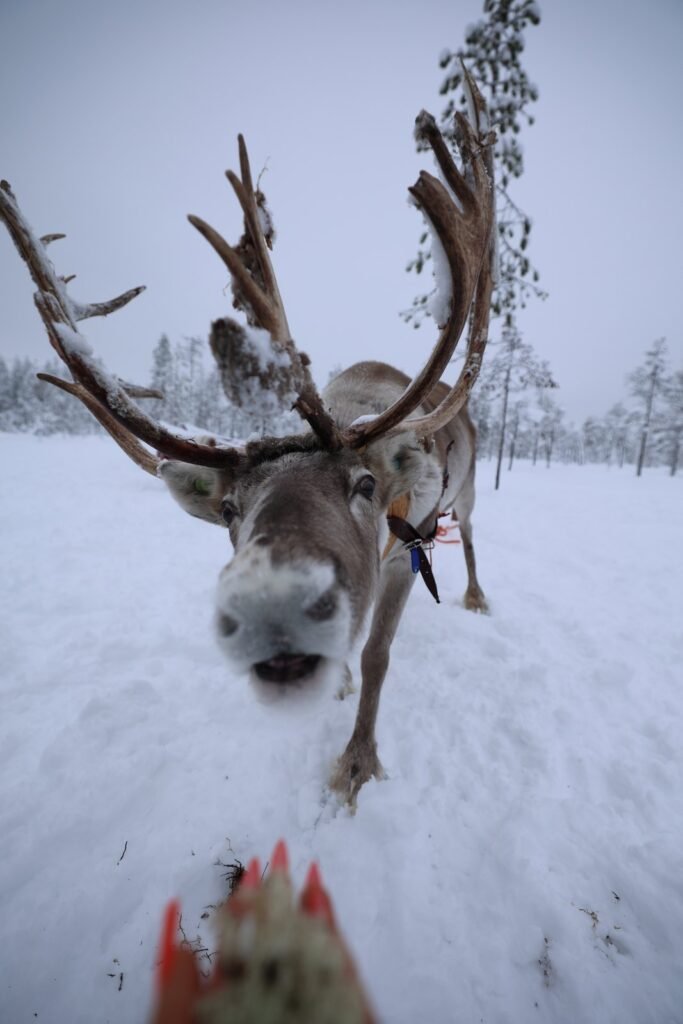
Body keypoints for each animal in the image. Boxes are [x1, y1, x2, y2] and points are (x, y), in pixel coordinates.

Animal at [0, 69, 495, 805]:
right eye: (230, 509)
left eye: (366, 483)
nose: (273, 610)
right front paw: (339, 683)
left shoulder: (406, 554)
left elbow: (378, 655)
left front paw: (356, 763)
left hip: (468, 497)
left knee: (476, 538)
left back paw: (475, 595)